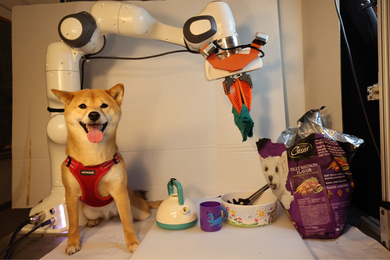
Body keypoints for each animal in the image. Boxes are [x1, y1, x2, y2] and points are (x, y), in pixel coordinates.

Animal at [52, 84, 161, 255]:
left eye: (103, 105)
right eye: (82, 106)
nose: (94, 114)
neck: (92, 156)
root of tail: (110, 213)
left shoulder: (119, 191)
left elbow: (127, 222)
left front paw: (133, 242)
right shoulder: (70, 194)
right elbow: (74, 224)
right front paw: (72, 243)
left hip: (139, 210)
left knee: (139, 210)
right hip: (87, 210)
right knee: (98, 217)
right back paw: (94, 220)